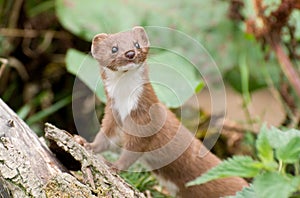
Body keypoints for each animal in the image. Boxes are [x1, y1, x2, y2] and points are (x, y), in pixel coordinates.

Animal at [85, 26, 247, 198]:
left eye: (136, 44)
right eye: (114, 48)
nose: (130, 53)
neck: (125, 104)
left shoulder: (144, 118)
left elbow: (134, 149)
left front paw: (114, 165)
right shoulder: (113, 115)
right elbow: (105, 137)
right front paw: (86, 144)